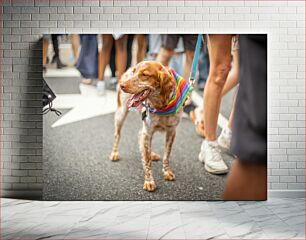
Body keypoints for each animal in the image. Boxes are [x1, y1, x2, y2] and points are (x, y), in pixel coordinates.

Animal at [109, 61, 191, 192]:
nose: (122, 85)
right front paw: (149, 181)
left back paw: (152, 154)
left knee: (140, 136)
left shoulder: (171, 132)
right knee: (117, 134)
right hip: (121, 113)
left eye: (144, 75)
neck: (161, 105)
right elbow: (147, 161)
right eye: (134, 72)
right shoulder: (147, 132)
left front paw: (166, 171)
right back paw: (114, 153)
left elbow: (167, 155)